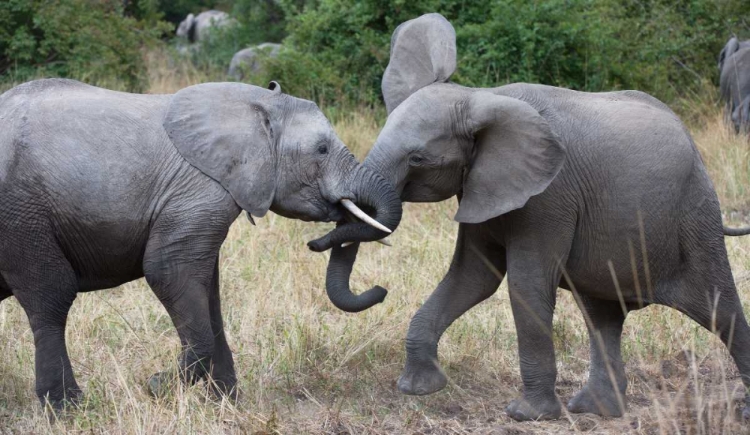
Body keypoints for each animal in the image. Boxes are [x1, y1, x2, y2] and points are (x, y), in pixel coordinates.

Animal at [0, 79, 400, 412]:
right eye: (321, 149)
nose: (382, 289)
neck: (256, 102)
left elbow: (209, 292)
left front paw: (225, 404)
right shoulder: (199, 192)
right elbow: (168, 272)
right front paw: (156, 386)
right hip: (21, 215)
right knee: (51, 297)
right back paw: (67, 410)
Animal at [312, 13, 750, 422]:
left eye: (417, 158)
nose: (380, 290)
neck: (479, 97)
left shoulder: (550, 196)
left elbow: (525, 283)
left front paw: (527, 414)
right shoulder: (483, 186)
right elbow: (473, 277)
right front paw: (418, 389)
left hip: (694, 213)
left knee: (719, 309)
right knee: (603, 316)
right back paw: (596, 410)